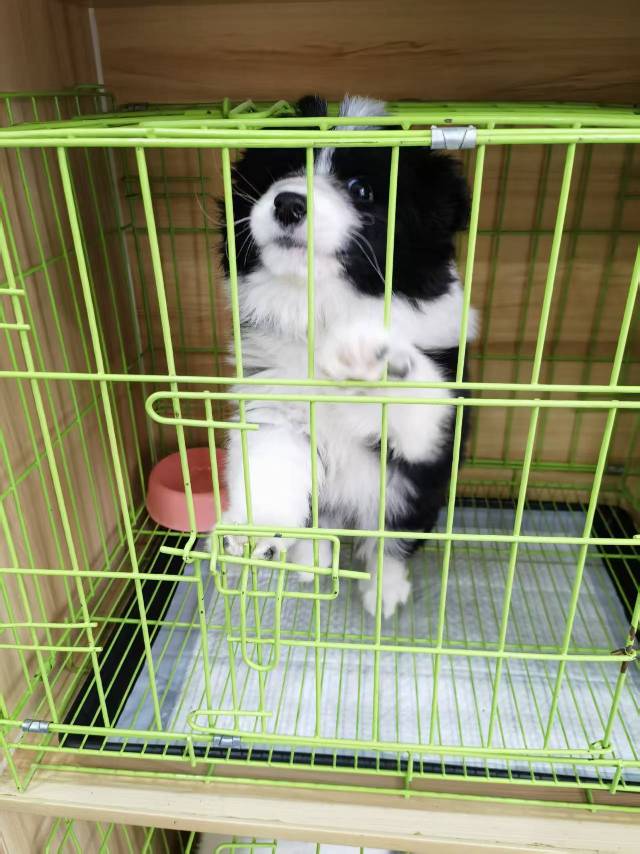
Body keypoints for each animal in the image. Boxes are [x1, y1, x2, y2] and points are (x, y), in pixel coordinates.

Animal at [218, 95, 476, 619]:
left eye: (360, 190)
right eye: (284, 169)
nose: (288, 202)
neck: (322, 304)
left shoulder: (431, 433)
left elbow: (416, 399)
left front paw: (369, 354)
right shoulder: (274, 403)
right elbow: (269, 463)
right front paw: (256, 530)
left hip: (407, 495)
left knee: (389, 539)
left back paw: (385, 592)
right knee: (327, 524)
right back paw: (310, 560)